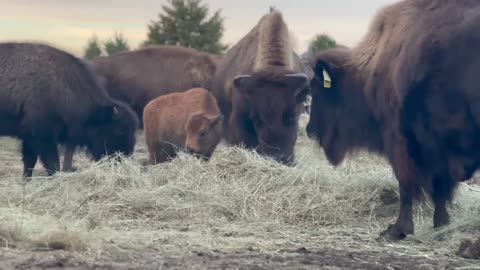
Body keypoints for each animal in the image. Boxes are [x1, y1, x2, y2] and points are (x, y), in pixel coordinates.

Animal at [0, 41, 139, 177]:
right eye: (120, 130)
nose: (124, 157)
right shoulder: (43, 137)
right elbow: (51, 163)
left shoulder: (29, 137)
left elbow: (29, 162)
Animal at [306, 0, 480, 240]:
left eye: (317, 88)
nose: (309, 130)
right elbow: (440, 190)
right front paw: (441, 224)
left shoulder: (399, 140)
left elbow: (406, 186)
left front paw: (397, 230)